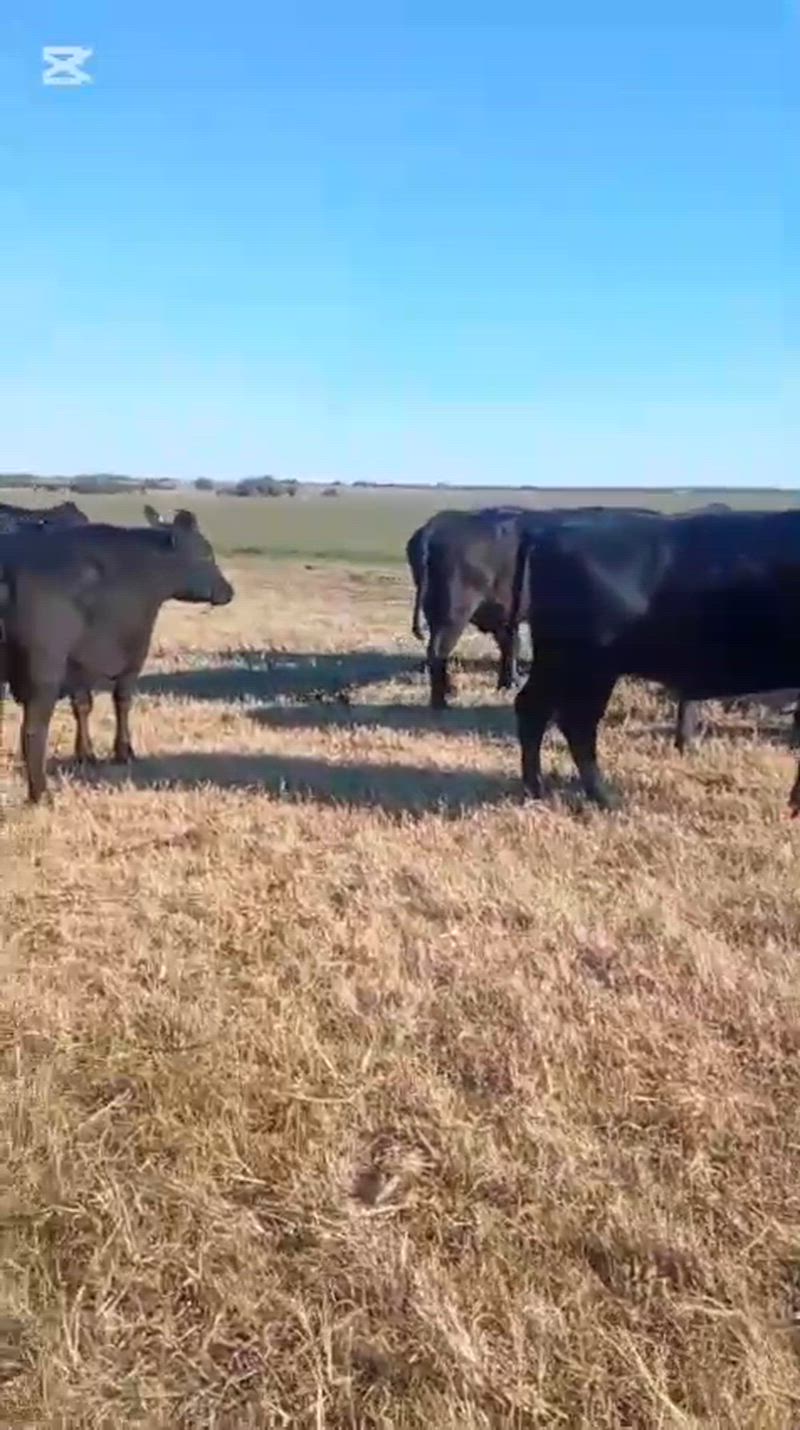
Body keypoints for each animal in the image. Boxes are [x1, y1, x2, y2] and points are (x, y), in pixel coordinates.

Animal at [0, 507, 233, 804]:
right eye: (205, 554)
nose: (228, 591)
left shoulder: (79, 663)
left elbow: (83, 706)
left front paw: (86, 754)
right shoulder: (132, 656)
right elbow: (122, 701)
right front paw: (124, 751)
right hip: (42, 672)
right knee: (33, 729)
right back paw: (41, 793)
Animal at [508, 507, 800, 811]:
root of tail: (548, 533)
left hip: (561, 663)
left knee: (535, 709)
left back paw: (536, 789)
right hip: (587, 666)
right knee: (575, 723)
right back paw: (605, 798)